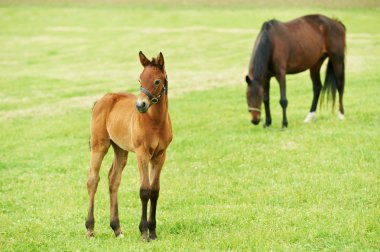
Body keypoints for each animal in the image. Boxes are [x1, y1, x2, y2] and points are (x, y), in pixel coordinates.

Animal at [85, 50, 173, 240]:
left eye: (157, 81)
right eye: (140, 80)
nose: (140, 105)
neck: (155, 122)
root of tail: (102, 99)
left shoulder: (160, 155)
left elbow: (155, 190)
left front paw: (153, 232)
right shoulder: (142, 154)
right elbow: (145, 190)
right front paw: (144, 232)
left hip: (120, 149)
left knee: (113, 179)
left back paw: (117, 229)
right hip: (99, 145)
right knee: (93, 179)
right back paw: (89, 229)